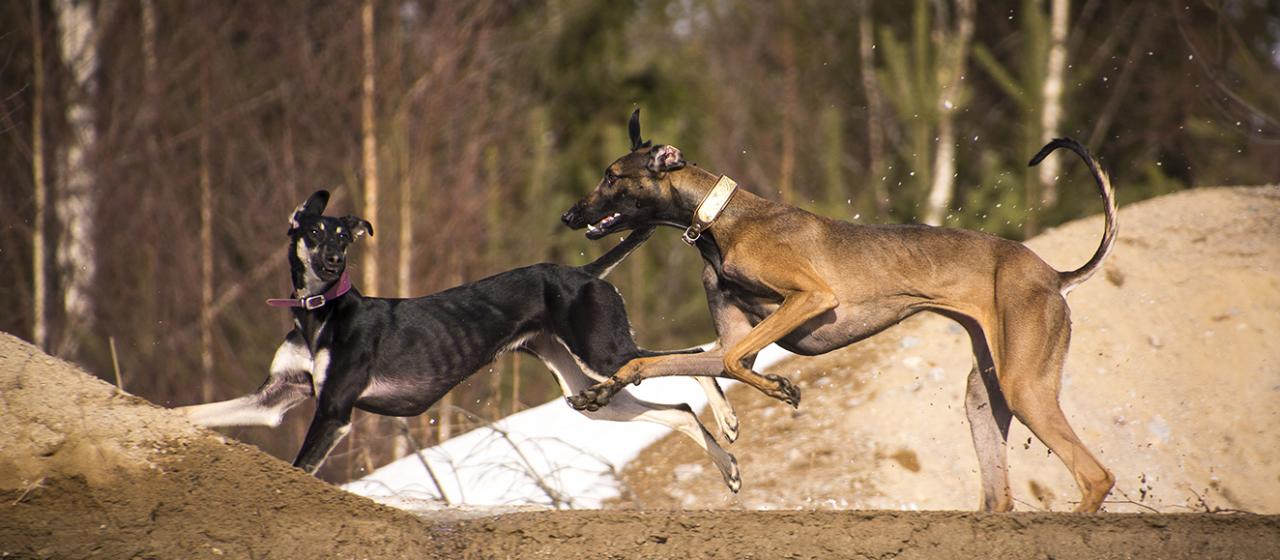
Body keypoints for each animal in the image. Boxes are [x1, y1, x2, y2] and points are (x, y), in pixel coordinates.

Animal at [180, 191, 742, 490]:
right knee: (678, 410)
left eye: (343, 236)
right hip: (589, 389)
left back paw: (729, 420)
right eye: (313, 233)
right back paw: (728, 466)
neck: (322, 312)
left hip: (605, 352)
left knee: (695, 356)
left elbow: (303, 467)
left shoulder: (335, 409)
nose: (334, 263)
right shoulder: (273, 398)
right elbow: (196, 412)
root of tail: (584, 272)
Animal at [560, 109, 1111, 511]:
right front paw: (600, 390)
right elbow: (662, 362)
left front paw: (781, 388)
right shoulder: (738, 338)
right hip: (985, 397)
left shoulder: (812, 298)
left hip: (1024, 387)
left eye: (612, 177)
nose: (568, 215)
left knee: (1096, 476)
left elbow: (735, 363)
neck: (719, 219)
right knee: (1002, 496)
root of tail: (1053, 275)